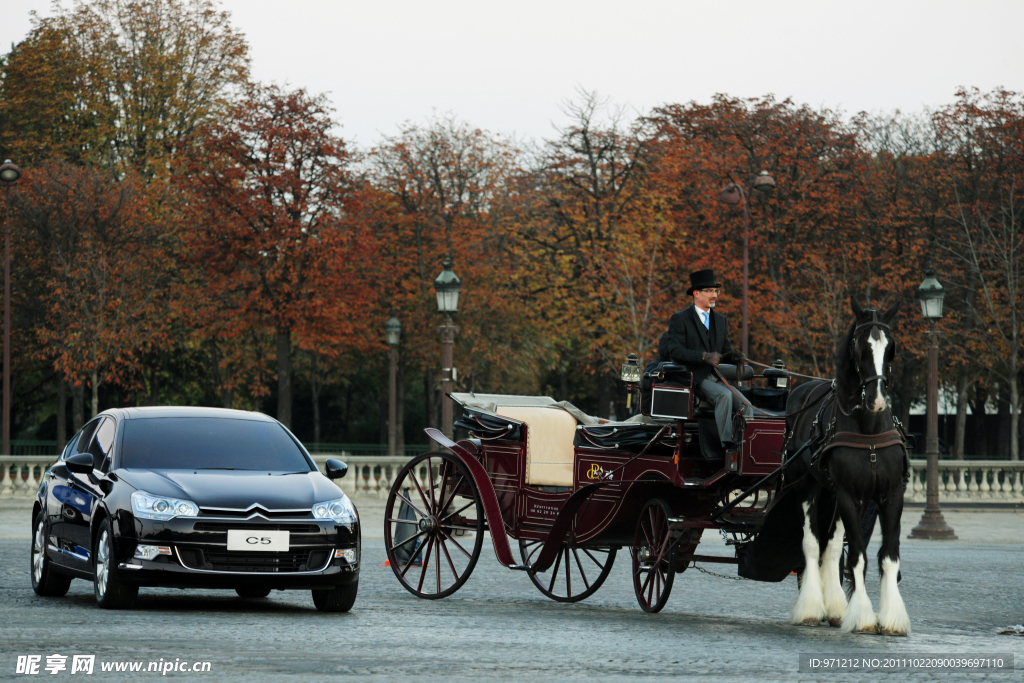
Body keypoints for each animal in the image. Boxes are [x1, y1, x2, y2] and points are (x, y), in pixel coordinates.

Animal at [765, 299, 909, 634]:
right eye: (860, 347)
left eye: (891, 347)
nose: (877, 401)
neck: (868, 429)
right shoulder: (847, 494)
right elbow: (856, 556)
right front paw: (864, 617)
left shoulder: (890, 495)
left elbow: (888, 555)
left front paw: (892, 618)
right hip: (807, 487)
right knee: (811, 544)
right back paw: (810, 607)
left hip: (833, 495)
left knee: (830, 549)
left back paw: (833, 607)